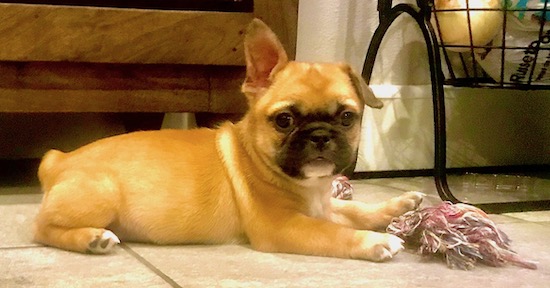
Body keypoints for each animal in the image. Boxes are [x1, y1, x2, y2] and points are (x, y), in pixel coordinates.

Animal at [33, 18, 422, 260]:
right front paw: (376, 240)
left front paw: (400, 206)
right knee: (41, 228)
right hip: (101, 197)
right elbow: (335, 233)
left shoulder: (323, 207)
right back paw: (91, 238)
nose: (320, 136)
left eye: (346, 117)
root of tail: (58, 159)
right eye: (284, 121)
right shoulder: (284, 226)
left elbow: (354, 209)